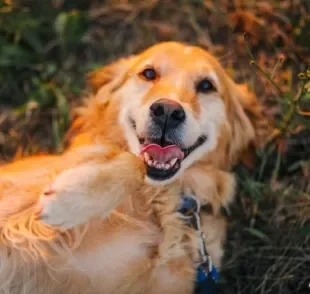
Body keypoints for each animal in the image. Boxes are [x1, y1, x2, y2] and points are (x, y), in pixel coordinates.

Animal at [0, 42, 266, 294]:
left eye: (206, 85)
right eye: (148, 73)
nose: (167, 111)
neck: (163, 203)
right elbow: (135, 163)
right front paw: (67, 201)